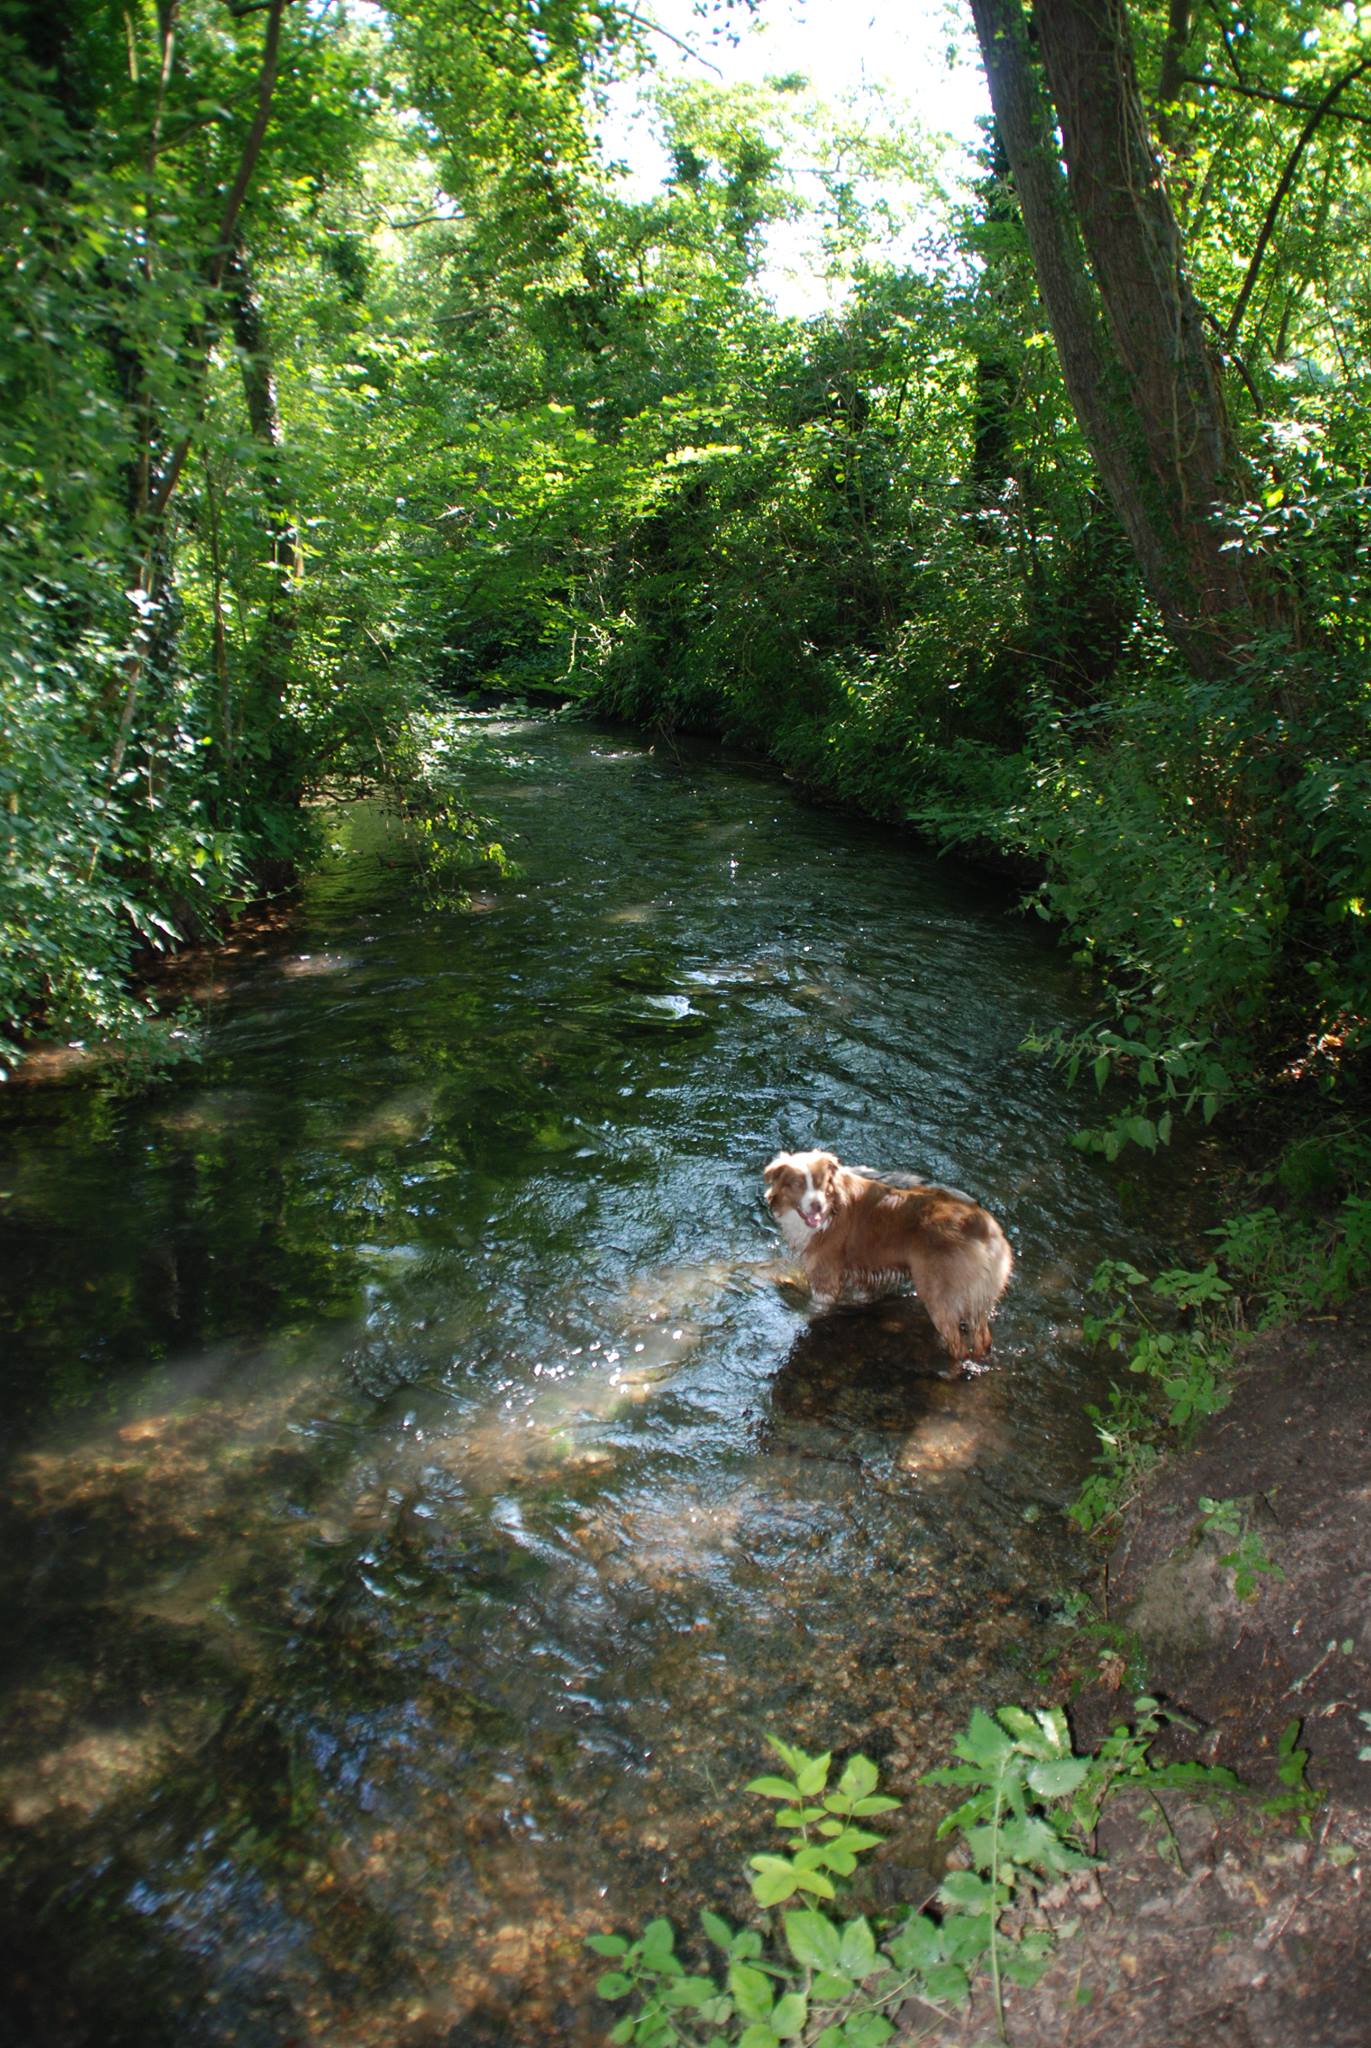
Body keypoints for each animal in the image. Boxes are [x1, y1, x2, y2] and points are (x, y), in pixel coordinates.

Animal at [766, 1155, 1012, 1359]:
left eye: (821, 1182)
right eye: (797, 1184)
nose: (817, 1206)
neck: (832, 1206)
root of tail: (980, 1222)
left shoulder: (825, 1276)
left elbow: (813, 1309)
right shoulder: (864, 1274)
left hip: (939, 1294)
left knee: (958, 1345)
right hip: (979, 1298)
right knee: (982, 1339)